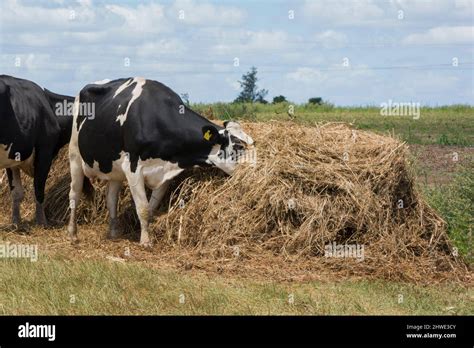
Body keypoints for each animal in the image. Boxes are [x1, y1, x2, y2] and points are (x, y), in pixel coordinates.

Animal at [0, 75, 74, 226]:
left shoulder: (12, 157)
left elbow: (16, 193)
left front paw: (16, 223)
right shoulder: (45, 152)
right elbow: (39, 188)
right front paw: (42, 222)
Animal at [68, 77, 254, 246]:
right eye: (239, 146)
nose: (254, 170)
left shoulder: (165, 173)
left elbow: (150, 209)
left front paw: (145, 233)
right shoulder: (132, 168)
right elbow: (143, 208)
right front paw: (145, 242)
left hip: (115, 168)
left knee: (111, 198)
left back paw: (114, 233)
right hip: (75, 155)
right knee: (74, 194)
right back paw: (73, 234)